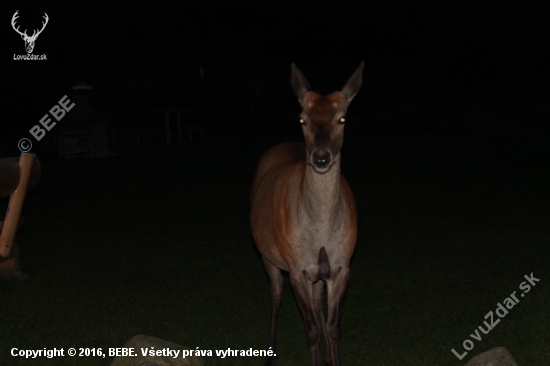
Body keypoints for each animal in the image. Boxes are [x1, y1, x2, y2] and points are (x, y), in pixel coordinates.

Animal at [251, 60, 364, 366]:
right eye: (302, 119)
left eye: (342, 119)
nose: (321, 157)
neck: (321, 231)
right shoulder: (297, 267)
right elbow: (311, 330)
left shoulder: (342, 265)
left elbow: (334, 327)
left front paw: (333, 359)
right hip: (268, 255)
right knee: (275, 295)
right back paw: (270, 353)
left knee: (317, 305)